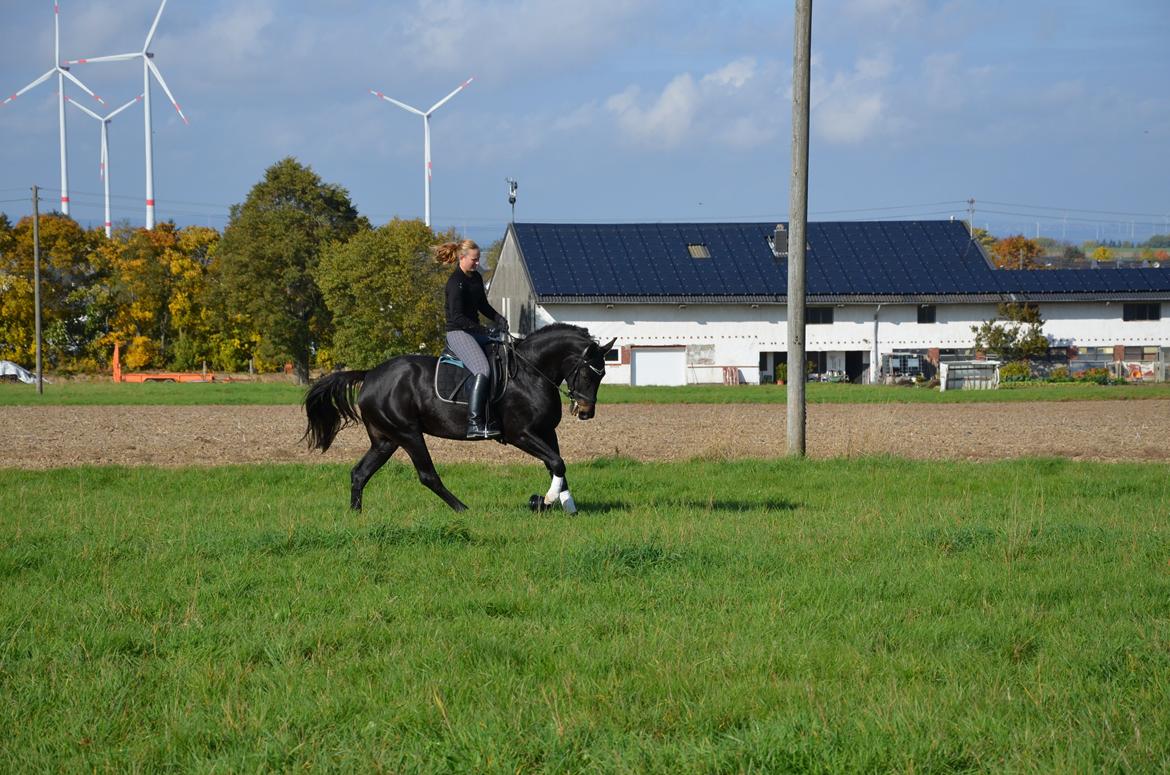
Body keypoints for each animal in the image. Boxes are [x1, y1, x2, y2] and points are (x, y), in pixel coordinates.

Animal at [301, 325, 617, 512]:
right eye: (588, 372)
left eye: (602, 373)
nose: (586, 412)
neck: (531, 373)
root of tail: (370, 375)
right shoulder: (521, 434)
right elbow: (557, 462)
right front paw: (546, 500)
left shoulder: (546, 432)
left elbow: (557, 465)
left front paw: (565, 504)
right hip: (408, 434)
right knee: (427, 475)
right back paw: (462, 509)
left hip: (385, 440)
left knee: (360, 472)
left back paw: (356, 514)